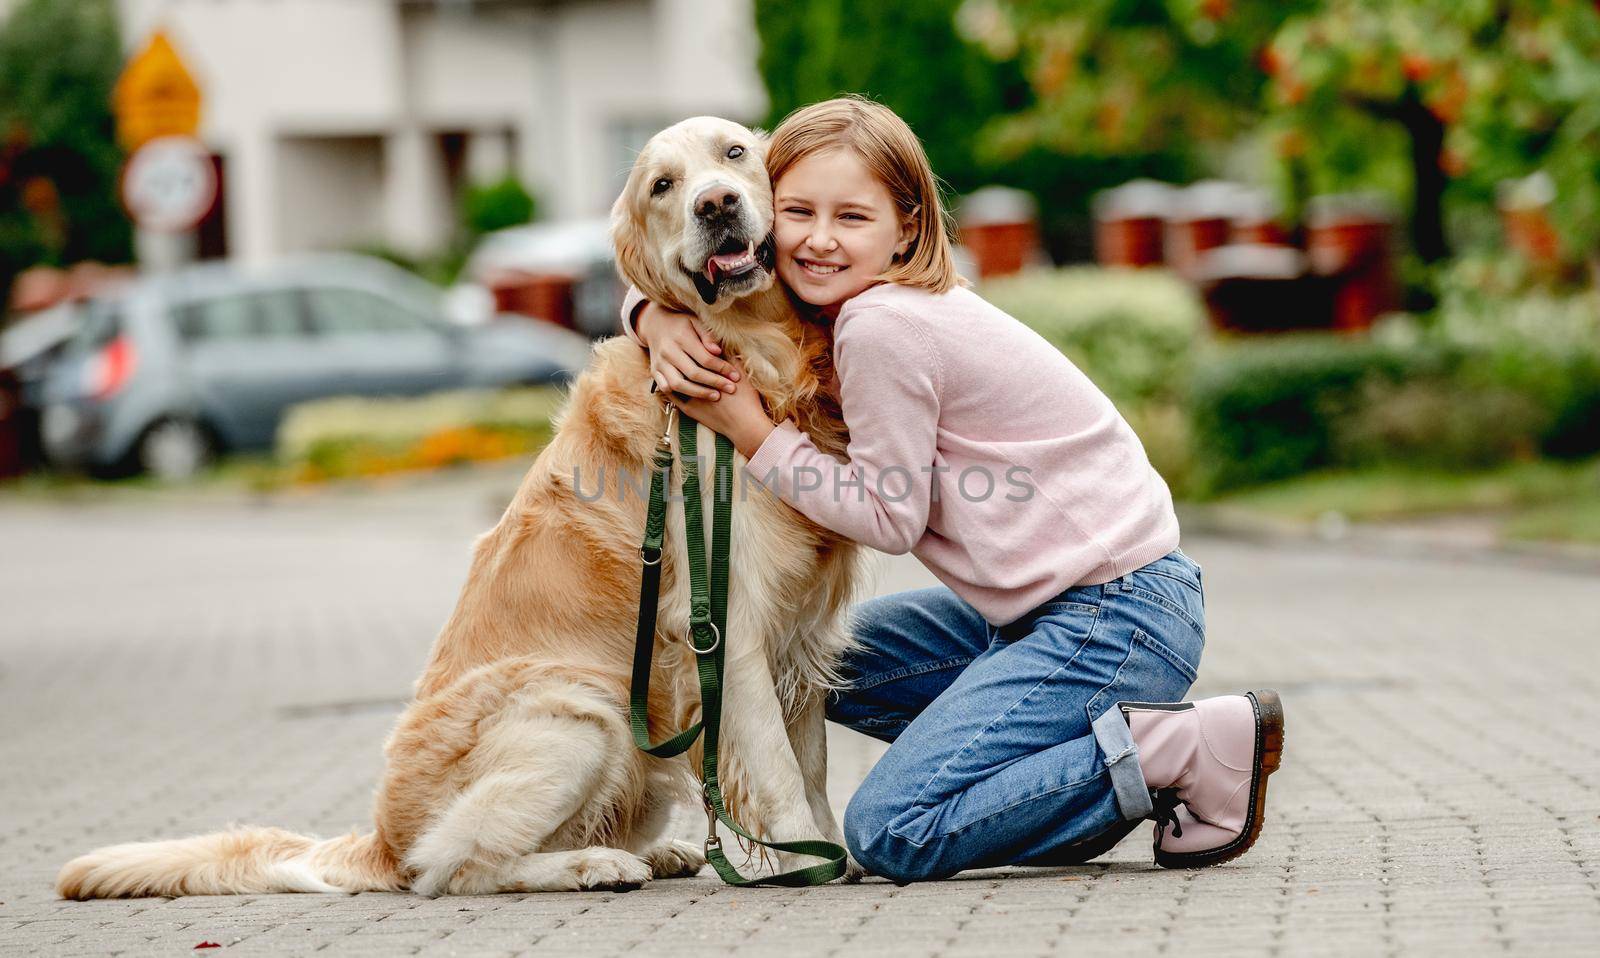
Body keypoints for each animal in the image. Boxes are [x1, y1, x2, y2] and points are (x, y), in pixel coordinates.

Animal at [56, 118, 870, 902]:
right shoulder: (724, 630)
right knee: (453, 864)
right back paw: (593, 866)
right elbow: (780, 772)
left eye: (733, 154)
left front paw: (836, 853)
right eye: (662, 187)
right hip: (580, 711)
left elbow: (812, 765)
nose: (716, 204)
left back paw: (654, 853)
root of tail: (380, 841)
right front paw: (809, 861)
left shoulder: (798, 633)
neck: (754, 350)